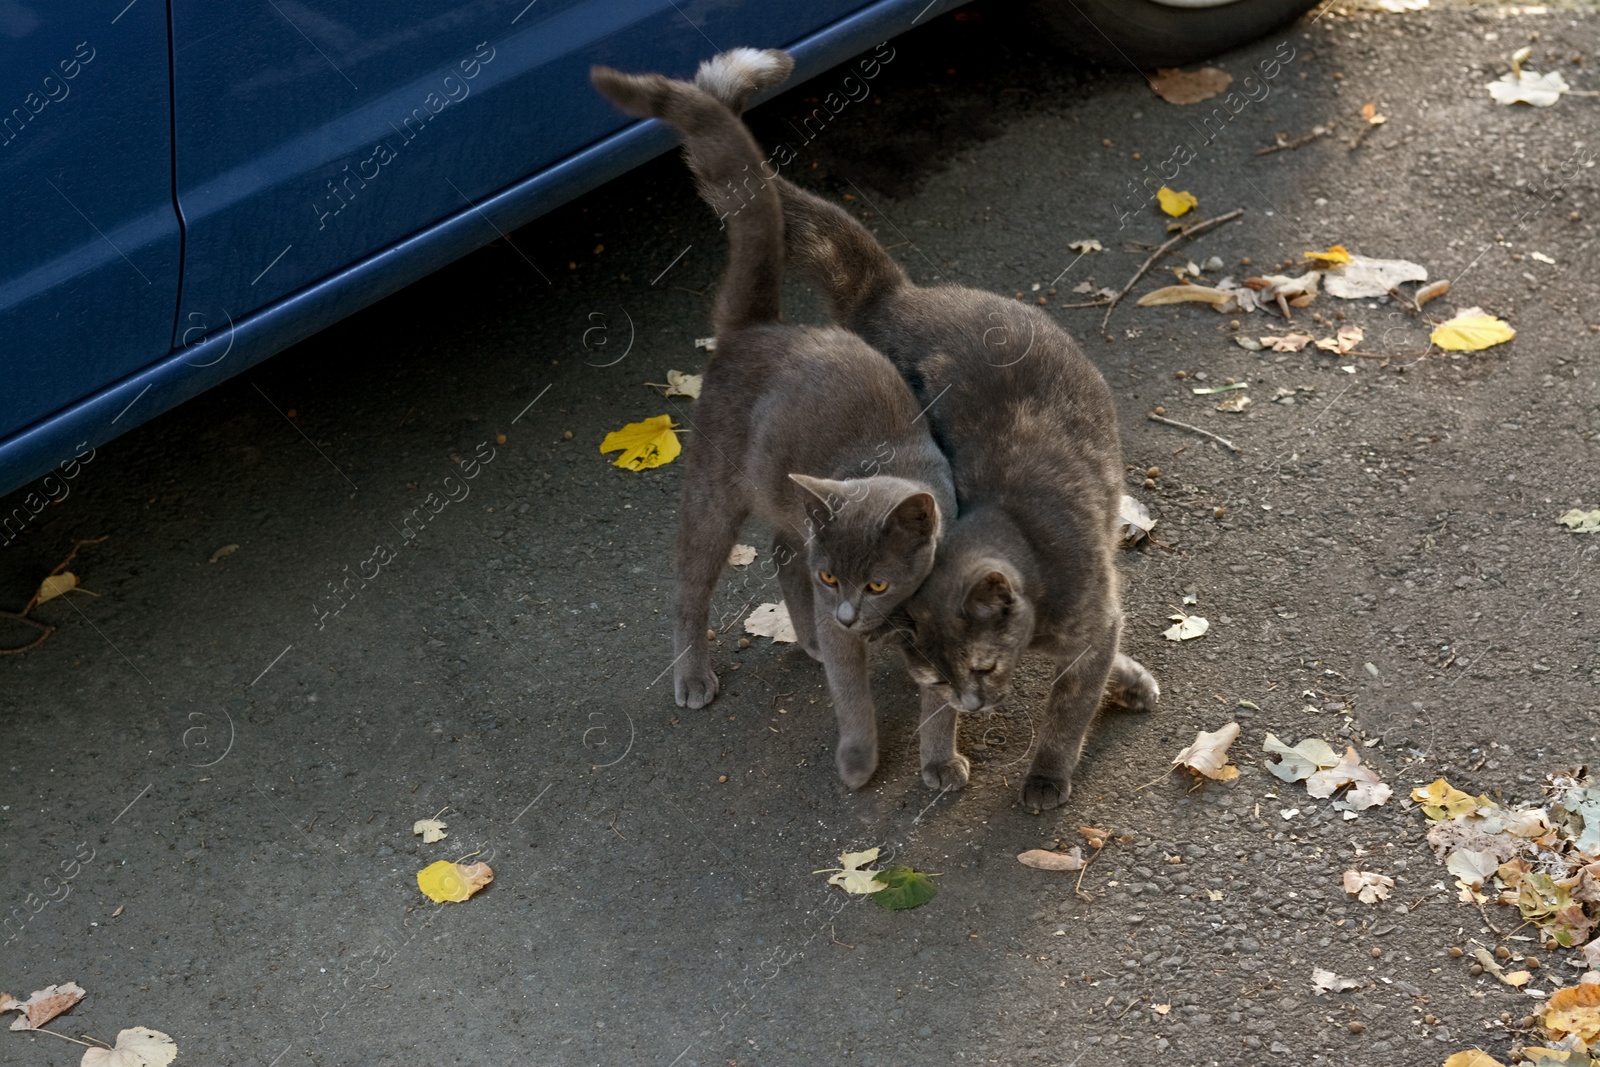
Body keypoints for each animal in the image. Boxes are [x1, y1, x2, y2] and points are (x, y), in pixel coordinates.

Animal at [595, 54, 953, 796]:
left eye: (877, 582)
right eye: (841, 581)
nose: (843, 612)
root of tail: (757, 325)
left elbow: (941, 704)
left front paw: (940, 764)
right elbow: (853, 697)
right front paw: (858, 763)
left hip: (787, 495)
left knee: (785, 553)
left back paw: (808, 638)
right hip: (711, 493)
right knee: (693, 590)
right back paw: (699, 675)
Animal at [694, 49, 1158, 812]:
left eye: (984, 665)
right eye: (940, 677)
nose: (972, 703)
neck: (1024, 535)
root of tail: (895, 293)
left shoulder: (1095, 618)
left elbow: (1069, 705)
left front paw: (1047, 771)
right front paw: (941, 756)